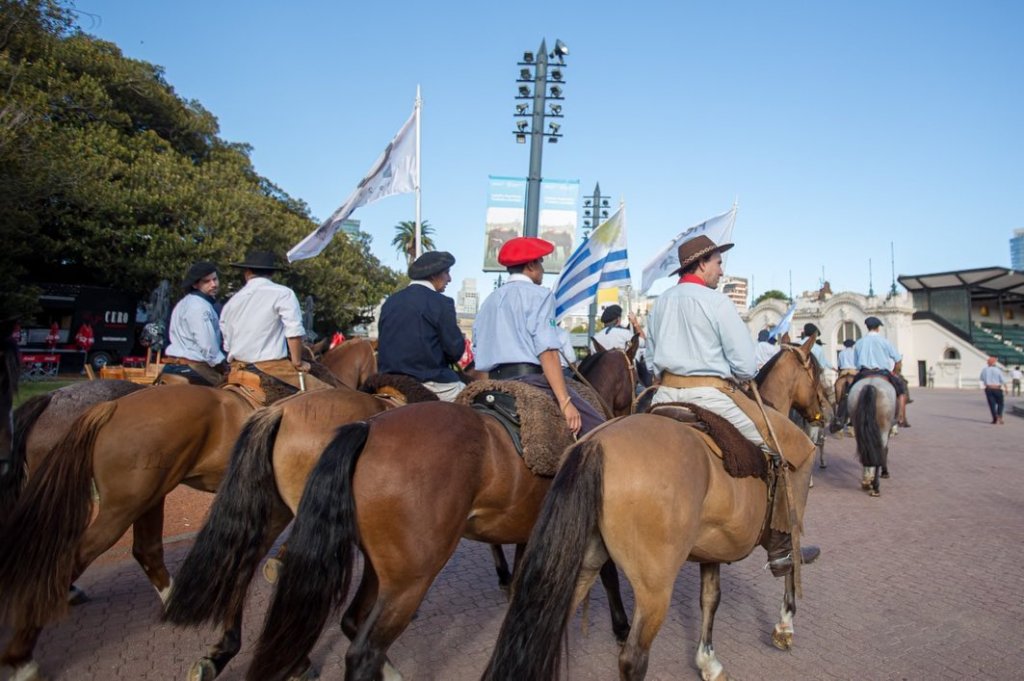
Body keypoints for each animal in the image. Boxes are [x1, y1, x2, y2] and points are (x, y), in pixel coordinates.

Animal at [164, 395, 626, 679]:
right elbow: (607, 575)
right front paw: (620, 626)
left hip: (321, 536)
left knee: (253, 575)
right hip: (409, 575)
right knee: (360, 648)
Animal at [483, 339, 827, 679]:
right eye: (817, 374)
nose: (822, 415)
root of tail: (596, 445)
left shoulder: (713, 547)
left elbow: (710, 597)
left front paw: (708, 660)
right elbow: (790, 560)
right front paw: (785, 625)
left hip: (580, 563)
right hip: (654, 588)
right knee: (632, 659)